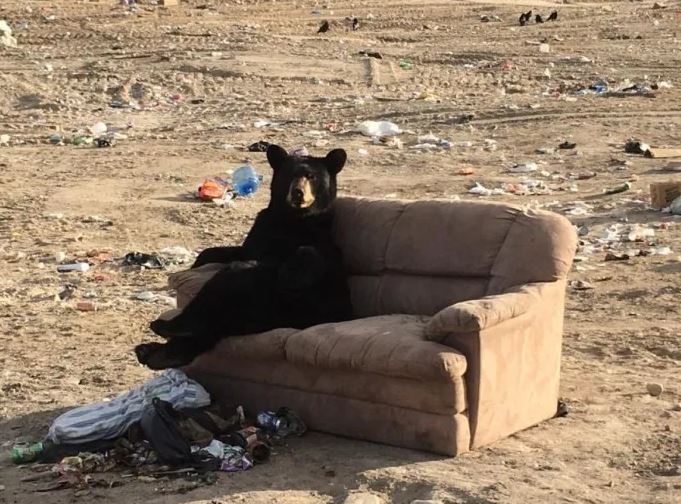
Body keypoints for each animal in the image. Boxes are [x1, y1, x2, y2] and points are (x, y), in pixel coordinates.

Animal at [135, 144, 354, 368]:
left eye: (312, 177)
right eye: (289, 175)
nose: (298, 193)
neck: (292, 219)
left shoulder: (321, 242)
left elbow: (311, 256)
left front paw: (290, 271)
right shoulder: (260, 231)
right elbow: (224, 251)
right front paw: (198, 262)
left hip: (278, 308)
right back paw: (157, 350)